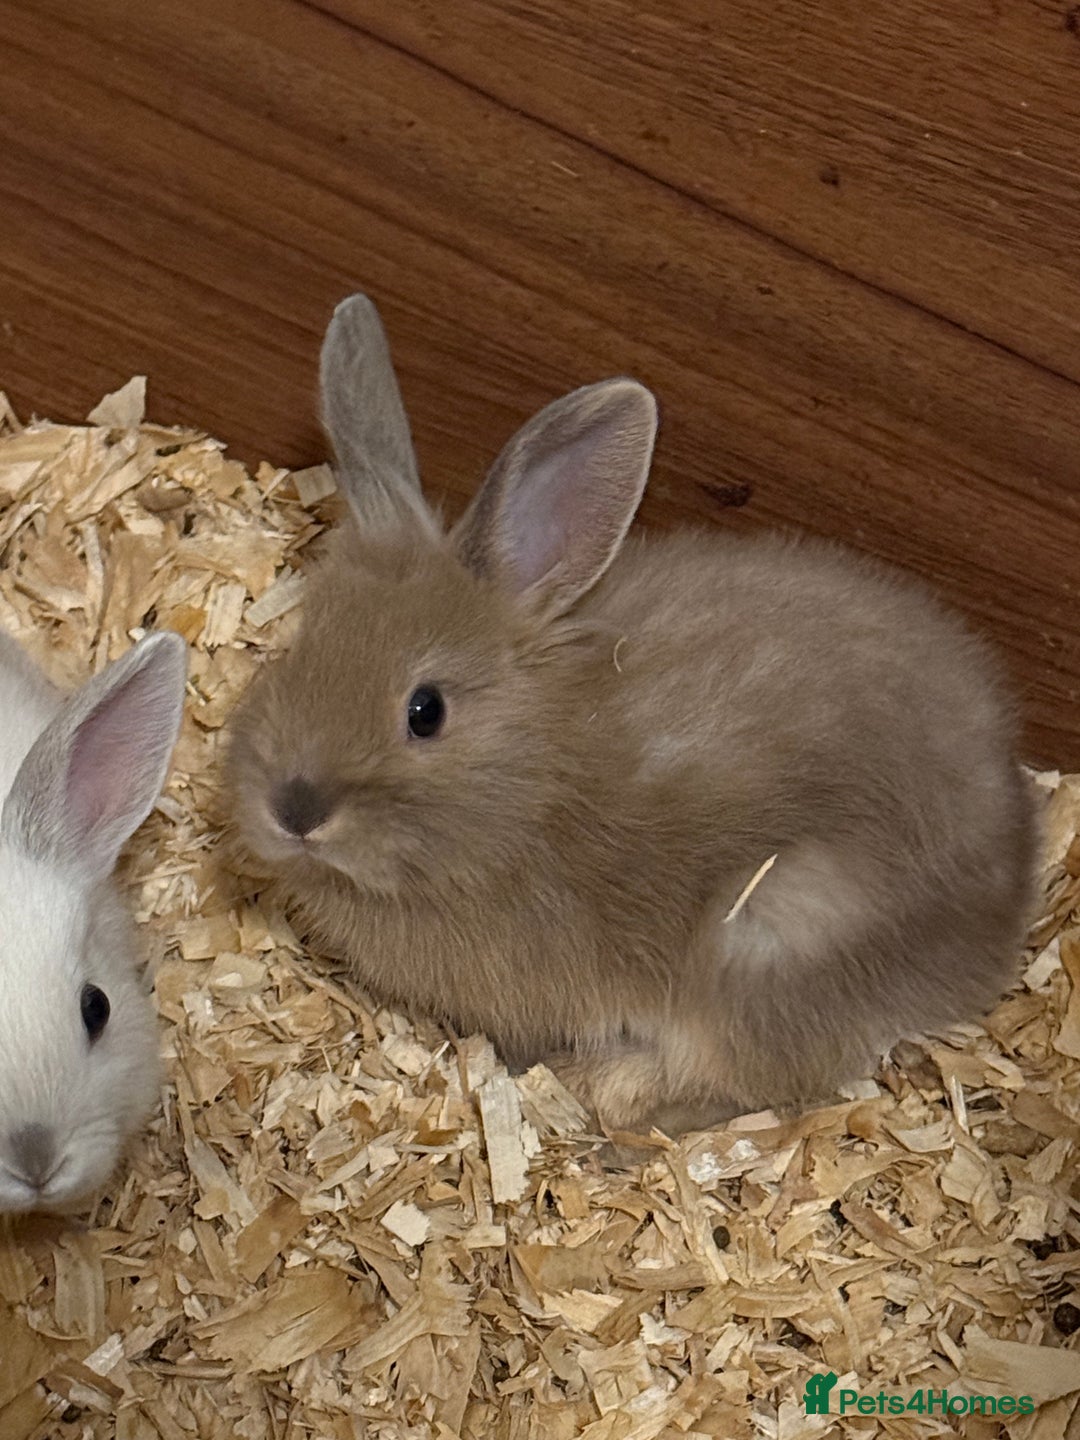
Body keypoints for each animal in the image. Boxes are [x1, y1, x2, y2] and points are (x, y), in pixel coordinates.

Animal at [227, 293, 1040, 1137]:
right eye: (298, 648)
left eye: (426, 711)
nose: (292, 811)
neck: (534, 787)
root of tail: (1012, 896)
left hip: (768, 936)